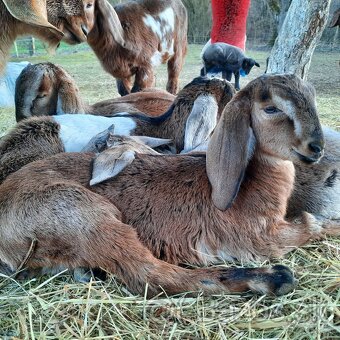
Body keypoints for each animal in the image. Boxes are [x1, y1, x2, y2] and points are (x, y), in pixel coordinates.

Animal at [1, 73, 338, 294]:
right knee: (150, 276)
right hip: (85, 217)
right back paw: (269, 278)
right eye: (271, 108)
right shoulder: (263, 239)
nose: (316, 148)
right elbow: (311, 223)